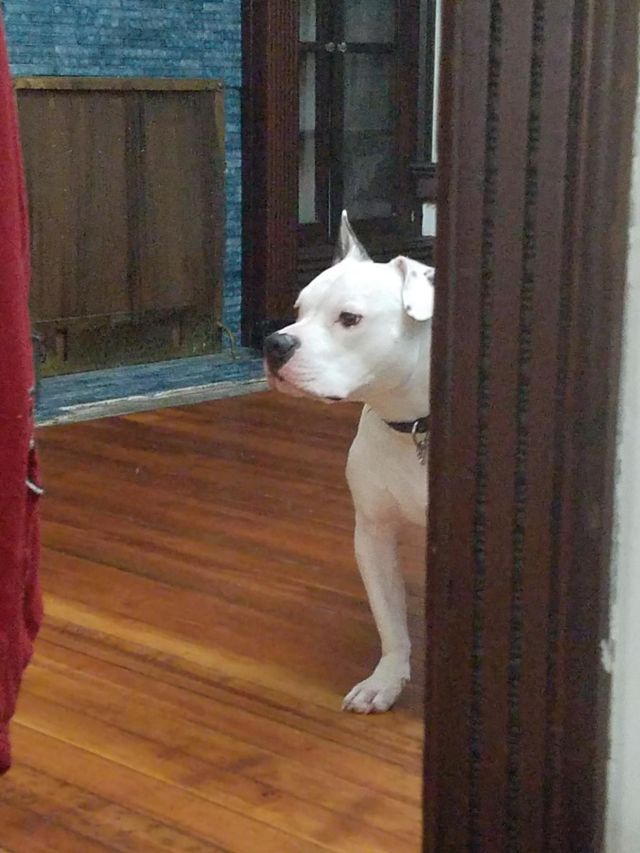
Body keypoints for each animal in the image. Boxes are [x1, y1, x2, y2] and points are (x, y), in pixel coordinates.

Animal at [264, 212, 434, 713]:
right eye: (298, 309)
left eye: (350, 319)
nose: (275, 342)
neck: (413, 425)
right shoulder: (373, 533)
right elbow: (390, 620)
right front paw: (388, 679)